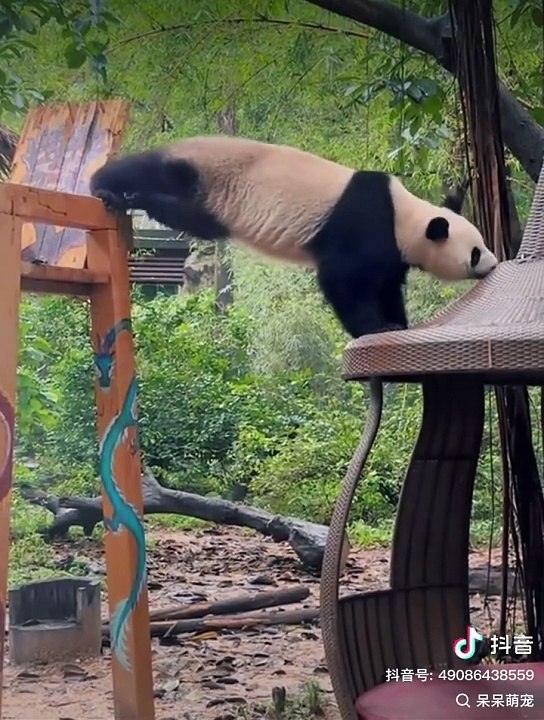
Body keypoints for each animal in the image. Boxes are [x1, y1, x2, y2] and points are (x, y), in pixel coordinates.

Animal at [89, 135, 498, 338]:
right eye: (476, 252)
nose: (493, 264)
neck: (405, 215)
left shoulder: (391, 249)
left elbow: (386, 285)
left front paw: (398, 323)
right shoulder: (362, 223)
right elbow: (342, 279)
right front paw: (375, 326)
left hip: (209, 202)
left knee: (189, 216)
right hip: (200, 167)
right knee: (148, 172)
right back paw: (107, 188)